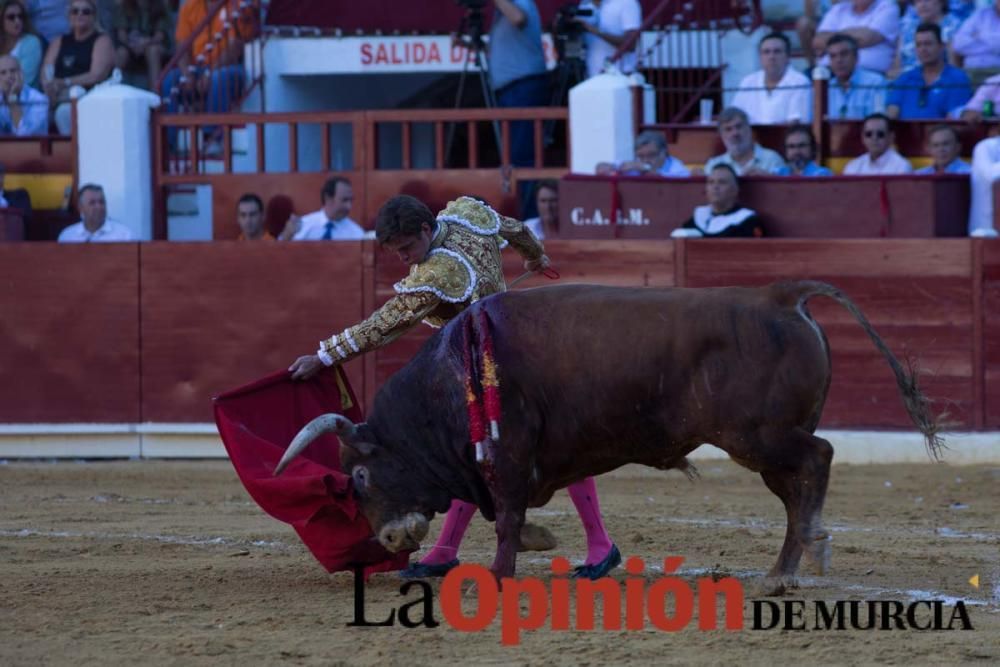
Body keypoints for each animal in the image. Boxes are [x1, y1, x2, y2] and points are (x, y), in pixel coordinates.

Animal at [278, 280, 940, 588]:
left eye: (360, 475)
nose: (389, 540)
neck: (447, 378)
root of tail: (780, 296)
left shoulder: (507, 455)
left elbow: (508, 517)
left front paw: (500, 573)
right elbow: (507, 513)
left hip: (761, 435)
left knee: (819, 460)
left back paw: (806, 554)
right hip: (768, 444)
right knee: (796, 489)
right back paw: (786, 569)